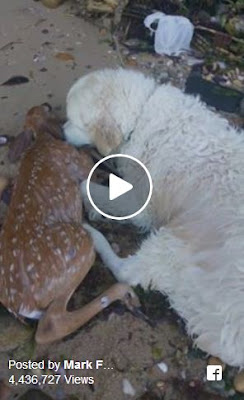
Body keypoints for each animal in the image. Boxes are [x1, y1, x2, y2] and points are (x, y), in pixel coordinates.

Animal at [63, 69, 244, 368]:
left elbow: (87, 187)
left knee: (128, 272)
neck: (141, 115)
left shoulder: (140, 200)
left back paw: (93, 236)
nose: (61, 130)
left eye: (73, 120)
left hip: (177, 240)